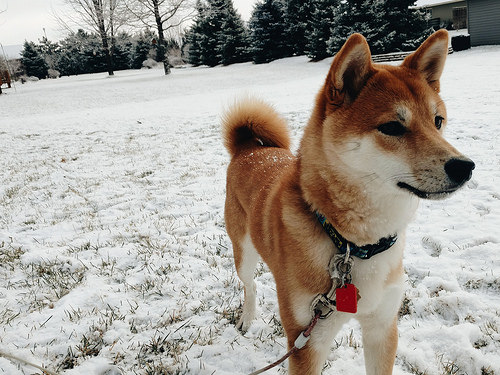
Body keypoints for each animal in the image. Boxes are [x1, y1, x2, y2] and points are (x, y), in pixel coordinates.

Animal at [224, 30, 476, 375]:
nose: (465, 167)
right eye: (392, 127)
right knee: (248, 286)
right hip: (244, 253)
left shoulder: (382, 326)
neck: (354, 245)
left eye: (438, 121)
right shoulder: (308, 340)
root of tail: (249, 148)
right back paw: (247, 319)